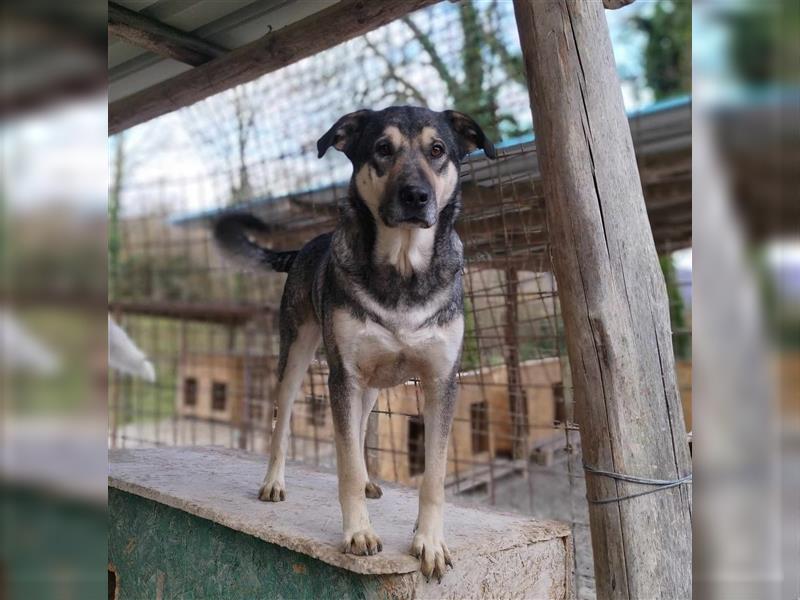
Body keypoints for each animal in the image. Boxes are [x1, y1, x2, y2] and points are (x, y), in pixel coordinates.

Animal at [216, 105, 496, 580]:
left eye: (438, 150)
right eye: (382, 148)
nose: (416, 196)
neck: (404, 269)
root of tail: (304, 247)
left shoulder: (441, 381)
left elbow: (434, 475)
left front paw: (429, 541)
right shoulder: (341, 378)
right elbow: (344, 464)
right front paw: (358, 533)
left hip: (369, 384)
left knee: (362, 424)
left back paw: (368, 481)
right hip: (297, 359)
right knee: (281, 425)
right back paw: (273, 482)